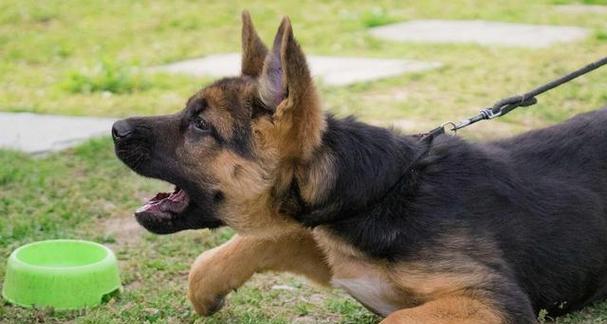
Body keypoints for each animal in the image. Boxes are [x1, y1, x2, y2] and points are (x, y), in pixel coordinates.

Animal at [111, 10, 607, 324]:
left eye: (200, 124)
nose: (115, 128)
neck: (377, 192)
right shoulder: (331, 253)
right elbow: (244, 246)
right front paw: (207, 291)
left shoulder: (493, 300)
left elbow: (397, 320)